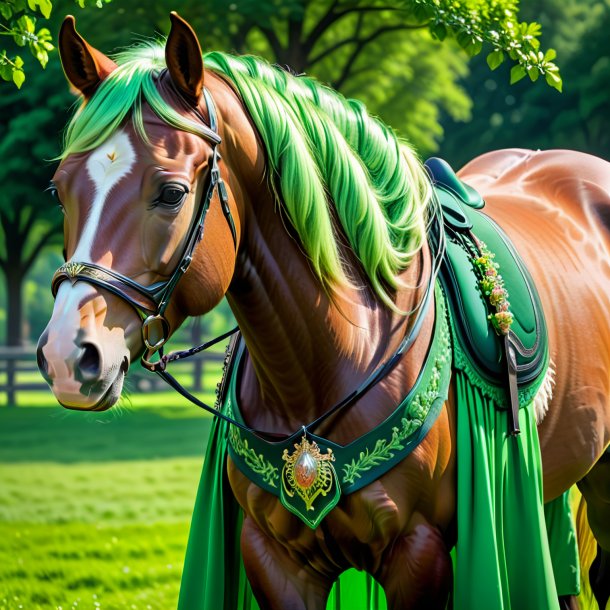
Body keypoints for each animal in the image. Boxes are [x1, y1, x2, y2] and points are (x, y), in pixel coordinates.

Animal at [36, 13, 608, 608]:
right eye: (58, 190)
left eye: (171, 193)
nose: (68, 356)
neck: (332, 357)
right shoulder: (275, 557)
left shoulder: (419, 554)